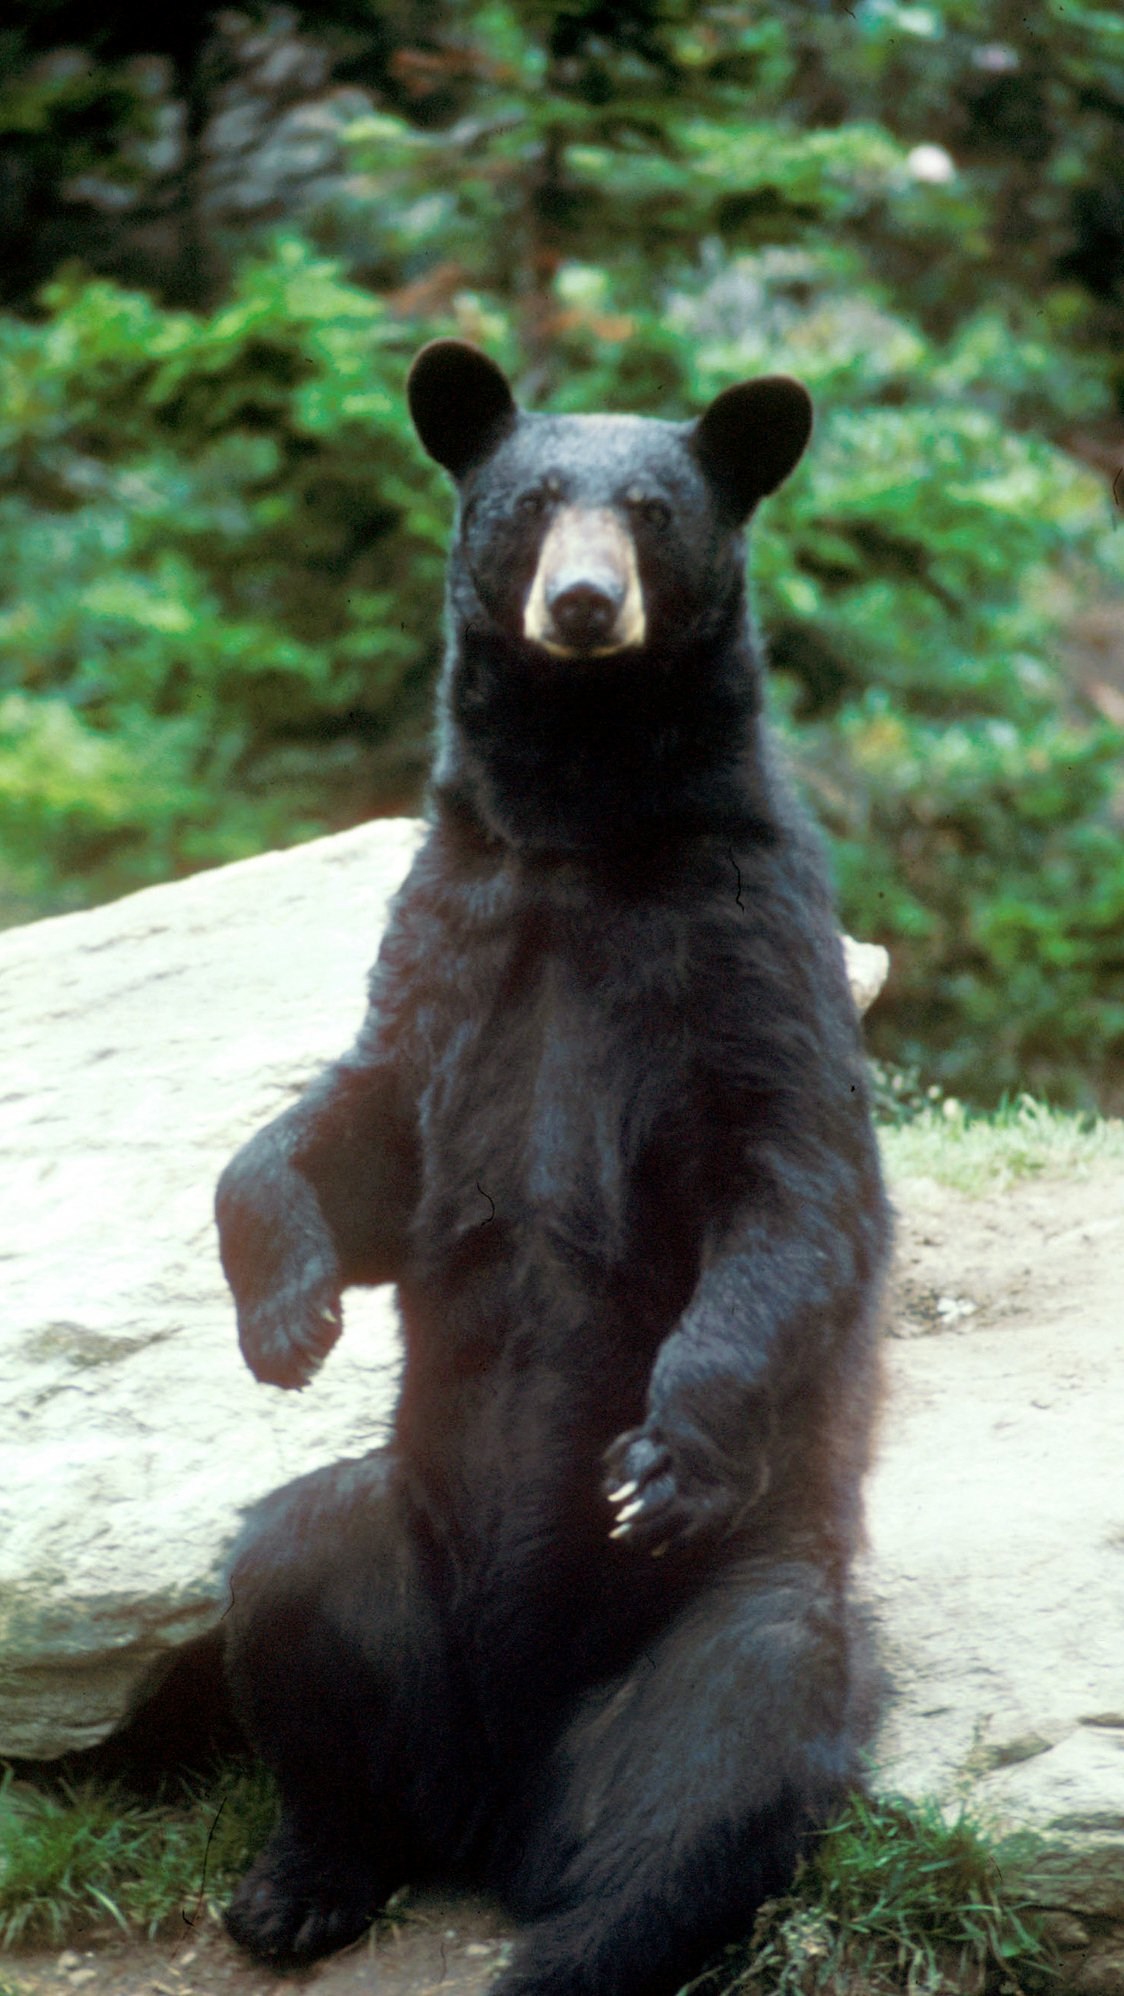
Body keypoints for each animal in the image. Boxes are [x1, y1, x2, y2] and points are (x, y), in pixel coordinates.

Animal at [215, 339, 891, 1996]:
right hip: (398, 1553)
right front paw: (287, 1316)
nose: (582, 605)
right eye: (529, 503)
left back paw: (573, 1944)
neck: (583, 831)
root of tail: (498, 1805)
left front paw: (664, 1449)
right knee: (293, 1579)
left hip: (722, 1608)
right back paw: (304, 1881)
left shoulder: (749, 945)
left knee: (722, 1750)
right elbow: (358, 1126)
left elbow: (791, 1192)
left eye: (650, 509)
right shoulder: (455, 928)